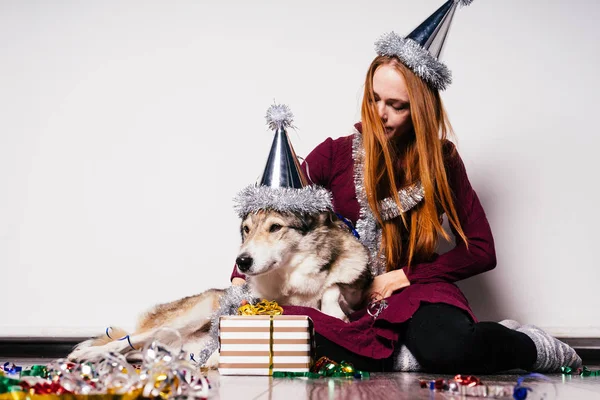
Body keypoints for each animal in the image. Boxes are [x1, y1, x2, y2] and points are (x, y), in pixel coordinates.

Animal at [68, 209, 372, 366]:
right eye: (246, 230)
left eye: (276, 227)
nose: (242, 261)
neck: (291, 281)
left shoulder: (356, 285)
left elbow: (334, 286)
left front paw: (333, 311)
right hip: (195, 313)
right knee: (127, 340)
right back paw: (87, 354)